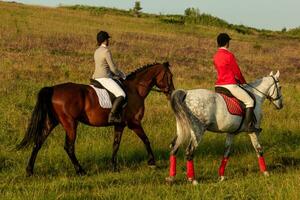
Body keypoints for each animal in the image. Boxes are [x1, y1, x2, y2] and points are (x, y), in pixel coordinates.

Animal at [17, 61, 176, 176]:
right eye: (170, 76)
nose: (172, 93)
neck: (135, 89)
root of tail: (53, 89)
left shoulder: (120, 124)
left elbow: (116, 144)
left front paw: (113, 166)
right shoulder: (134, 123)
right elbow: (146, 140)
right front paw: (152, 162)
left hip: (52, 122)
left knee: (38, 143)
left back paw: (29, 171)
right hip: (70, 123)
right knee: (69, 147)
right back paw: (80, 171)